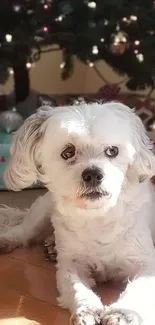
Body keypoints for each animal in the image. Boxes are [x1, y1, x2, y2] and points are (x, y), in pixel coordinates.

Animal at [0, 102, 155, 324]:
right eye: (68, 152)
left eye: (112, 151)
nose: (93, 174)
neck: (97, 216)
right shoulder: (70, 264)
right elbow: (77, 288)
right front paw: (88, 310)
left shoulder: (145, 263)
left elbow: (139, 289)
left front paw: (123, 314)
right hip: (42, 212)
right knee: (23, 231)